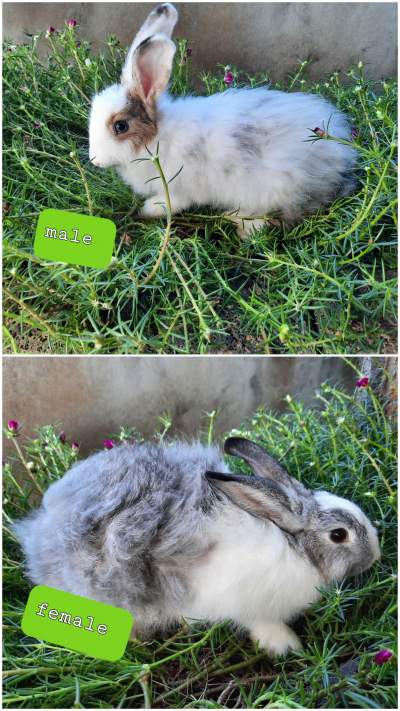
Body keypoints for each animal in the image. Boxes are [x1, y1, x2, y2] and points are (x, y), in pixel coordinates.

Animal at [14, 436, 380, 656]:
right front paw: (287, 646)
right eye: (339, 535)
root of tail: (40, 531)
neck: (293, 546)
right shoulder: (247, 605)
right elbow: (262, 625)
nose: (375, 556)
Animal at [88, 3, 357, 237]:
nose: (94, 160)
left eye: (120, 126)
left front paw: (148, 209)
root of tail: (340, 154)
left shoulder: (178, 187)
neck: (156, 137)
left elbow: (170, 203)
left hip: (280, 188)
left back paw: (242, 223)